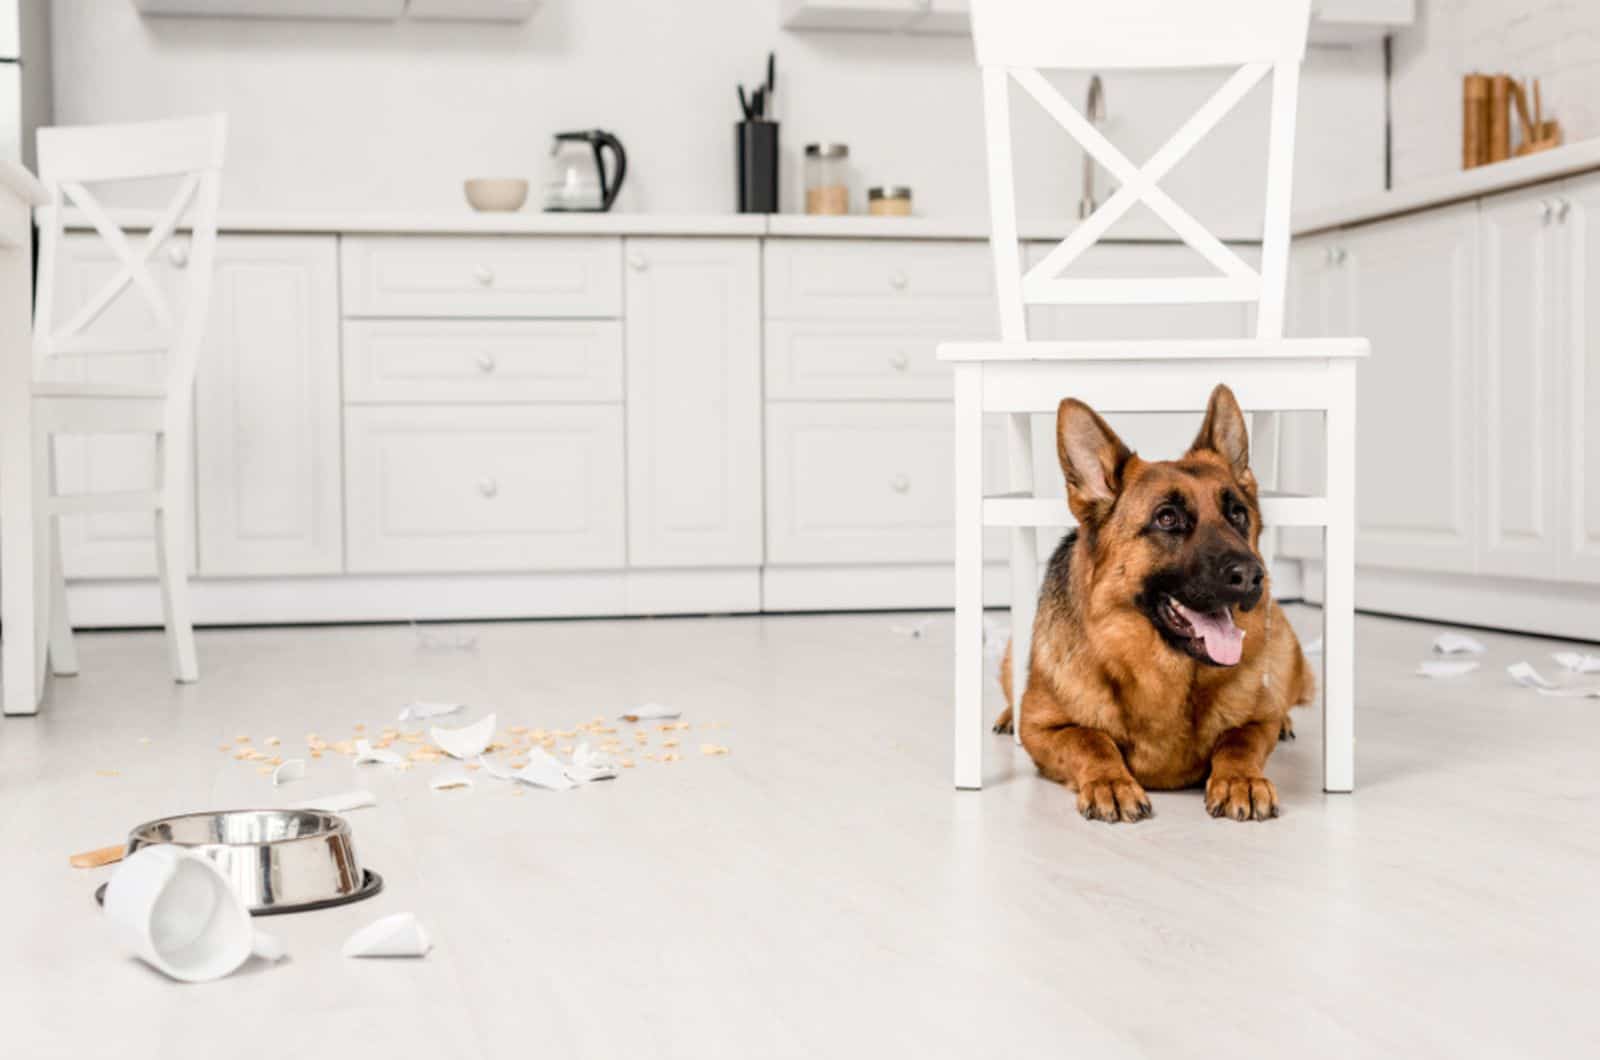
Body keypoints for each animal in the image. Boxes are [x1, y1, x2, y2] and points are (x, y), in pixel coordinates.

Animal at [992, 385, 1318, 826]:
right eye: (1167, 518)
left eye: (1237, 514)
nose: (1254, 576)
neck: (1165, 674)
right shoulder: (1043, 731)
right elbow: (1090, 739)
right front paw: (1111, 782)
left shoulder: (1255, 721)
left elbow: (1239, 741)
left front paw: (1241, 780)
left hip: (1284, 647)